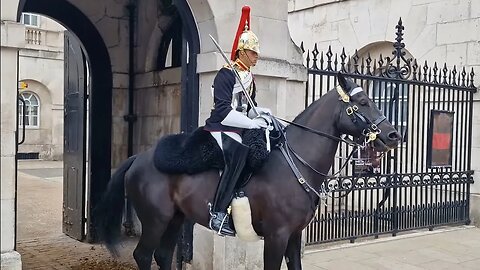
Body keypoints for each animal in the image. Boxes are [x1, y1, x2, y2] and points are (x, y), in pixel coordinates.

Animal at [94, 73, 402, 268]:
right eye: (363, 103)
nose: (393, 135)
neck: (296, 164)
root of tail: (140, 157)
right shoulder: (277, 236)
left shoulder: (294, 236)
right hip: (155, 220)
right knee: (144, 256)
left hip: (175, 219)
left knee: (162, 255)